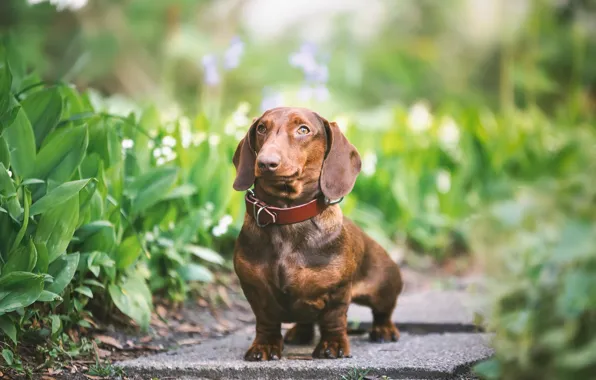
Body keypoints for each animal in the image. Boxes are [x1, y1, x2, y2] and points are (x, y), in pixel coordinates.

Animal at [230, 106, 402, 360]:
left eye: (303, 130)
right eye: (261, 128)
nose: (265, 162)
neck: (287, 216)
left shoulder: (338, 291)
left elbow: (333, 319)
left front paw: (333, 345)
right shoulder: (255, 290)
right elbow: (266, 321)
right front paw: (264, 345)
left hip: (384, 287)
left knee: (383, 311)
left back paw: (384, 329)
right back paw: (298, 332)